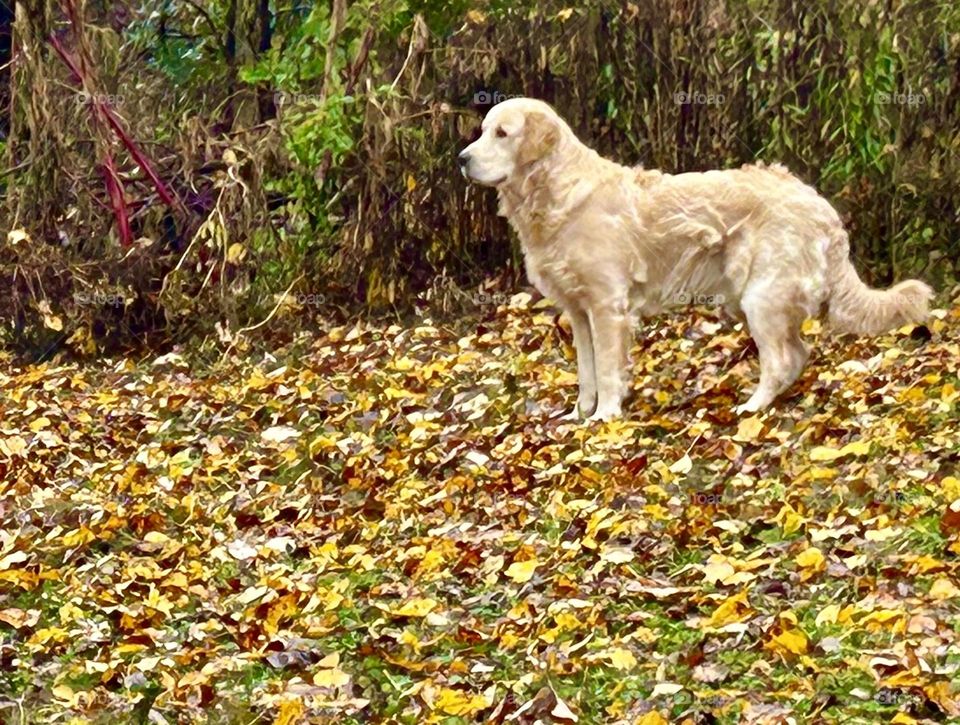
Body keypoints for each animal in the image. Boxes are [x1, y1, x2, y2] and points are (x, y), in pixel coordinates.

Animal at [462, 99, 932, 422]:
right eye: (483, 131)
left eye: (503, 133)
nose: (462, 159)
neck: (556, 194)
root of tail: (820, 204)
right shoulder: (579, 312)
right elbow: (587, 371)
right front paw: (580, 414)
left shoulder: (607, 307)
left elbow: (609, 369)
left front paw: (605, 417)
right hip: (752, 299)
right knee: (798, 352)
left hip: (761, 296)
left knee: (781, 359)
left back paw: (751, 408)